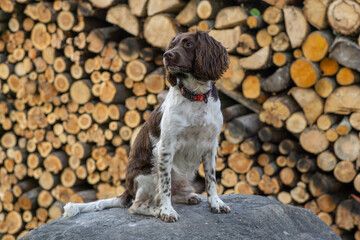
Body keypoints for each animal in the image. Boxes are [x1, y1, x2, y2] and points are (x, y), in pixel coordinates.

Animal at [63, 30, 229, 223]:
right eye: (171, 46)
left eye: (188, 44)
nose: (167, 55)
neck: (195, 95)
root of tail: (128, 190)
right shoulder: (164, 148)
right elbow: (165, 185)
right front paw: (166, 212)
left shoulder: (210, 145)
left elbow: (211, 180)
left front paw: (216, 204)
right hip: (147, 174)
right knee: (138, 205)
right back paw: (157, 210)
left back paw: (189, 197)